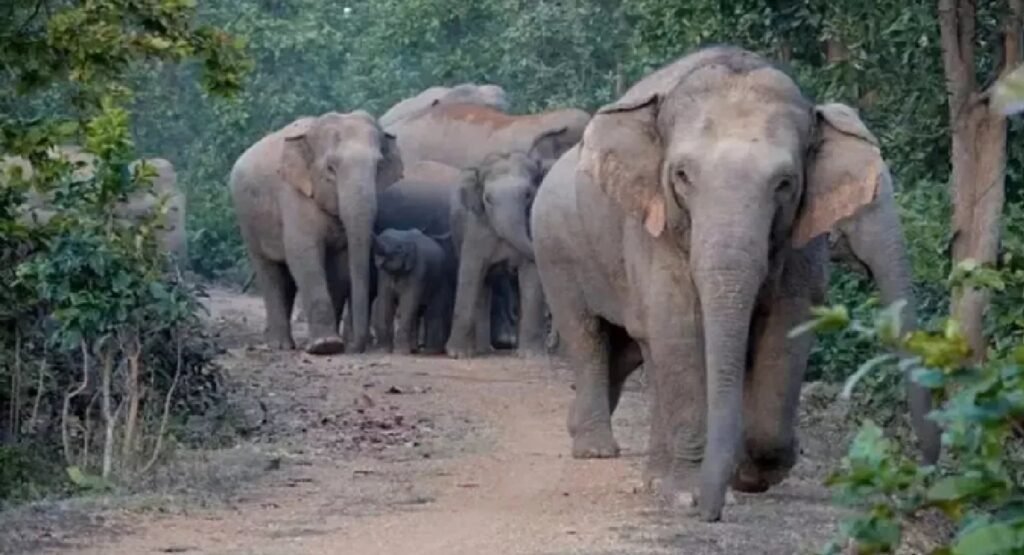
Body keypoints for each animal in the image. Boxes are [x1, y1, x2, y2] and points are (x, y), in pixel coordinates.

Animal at [230, 111, 403, 355]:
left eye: (379, 166)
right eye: (330, 168)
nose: (355, 347)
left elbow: (340, 265)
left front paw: (334, 344)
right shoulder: (293, 195)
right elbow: (303, 254)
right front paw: (325, 346)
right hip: (247, 219)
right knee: (268, 270)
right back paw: (280, 345)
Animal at [530, 46, 940, 522]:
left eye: (784, 183)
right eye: (682, 175)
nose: (712, 513)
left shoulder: (799, 238)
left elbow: (786, 323)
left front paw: (750, 475)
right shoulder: (654, 223)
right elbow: (679, 324)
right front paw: (689, 494)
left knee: (636, 346)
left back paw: (644, 469)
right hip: (555, 250)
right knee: (587, 334)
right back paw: (596, 449)